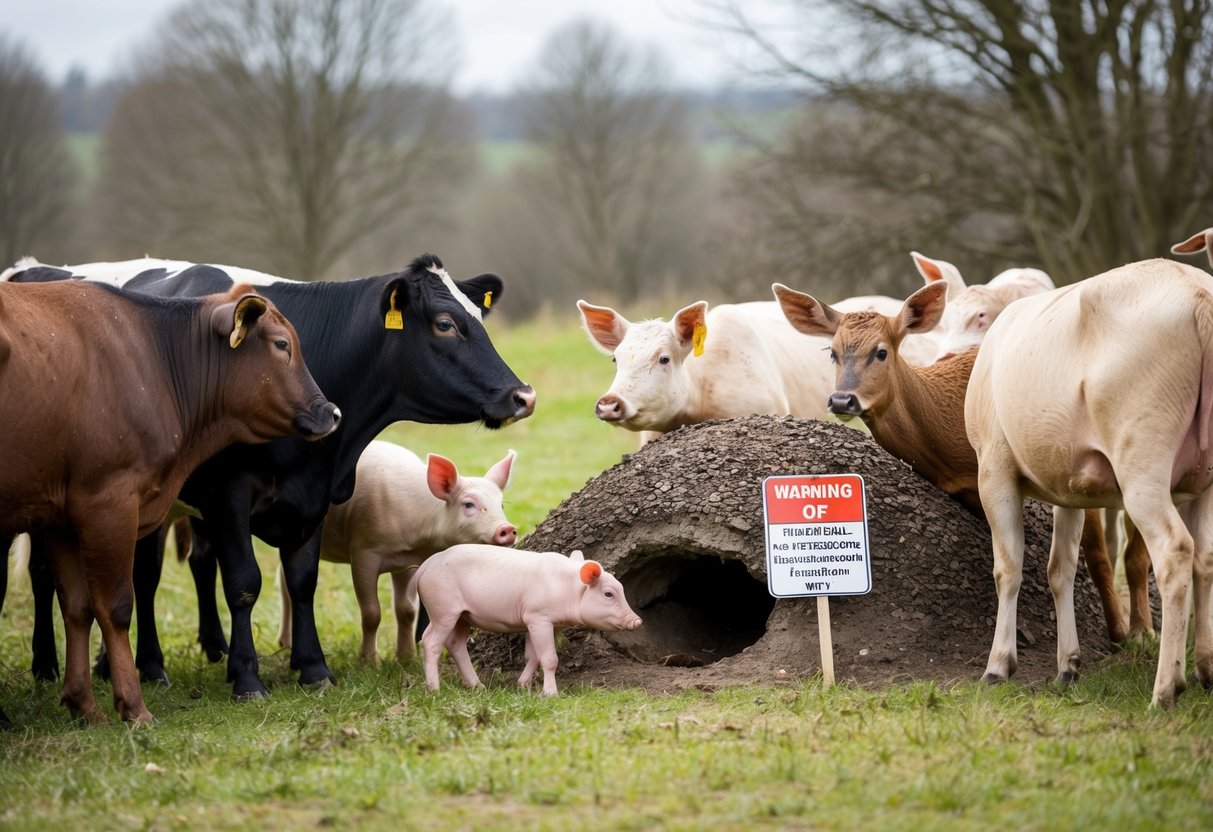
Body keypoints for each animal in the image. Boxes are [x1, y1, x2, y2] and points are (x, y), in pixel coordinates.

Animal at [0, 279, 339, 722]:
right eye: (282, 344)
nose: (331, 412)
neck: (155, 359)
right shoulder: (108, 504)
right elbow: (115, 606)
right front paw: (133, 707)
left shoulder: (61, 518)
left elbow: (76, 607)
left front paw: (83, 705)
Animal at [278, 441, 518, 665]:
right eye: (468, 504)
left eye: (501, 505)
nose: (508, 529)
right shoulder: (363, 551)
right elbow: (371, 612)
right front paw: (369, 664)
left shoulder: (406, 562)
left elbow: (406, 610)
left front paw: (406, 659)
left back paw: (285, 645)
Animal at [414, 544, 642, 695]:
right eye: (608, 594)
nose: (638, 621)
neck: (567, 589)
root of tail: (424, 568)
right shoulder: (538, 617)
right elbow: (549, 658)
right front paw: (550, 695)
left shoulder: (542, 623)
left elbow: (533, 655)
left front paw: (523, 686)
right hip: (443, 607)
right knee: (431, 641)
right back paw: (434, 690)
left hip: (462, 615)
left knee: (454, 643)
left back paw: (479, 687)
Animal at [964, 252, 1213, 708]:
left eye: (977, 315)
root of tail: (1196, 290)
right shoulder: (1069, 490)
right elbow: (1060, 568)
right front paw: (1068, 665)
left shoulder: (993, 472)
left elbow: (1008, 568)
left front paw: (998, 665)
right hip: (1202, 478)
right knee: (1204, 557)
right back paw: (1204, 670)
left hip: (1143, 465)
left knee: (1175, 553)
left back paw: (1166, 689)